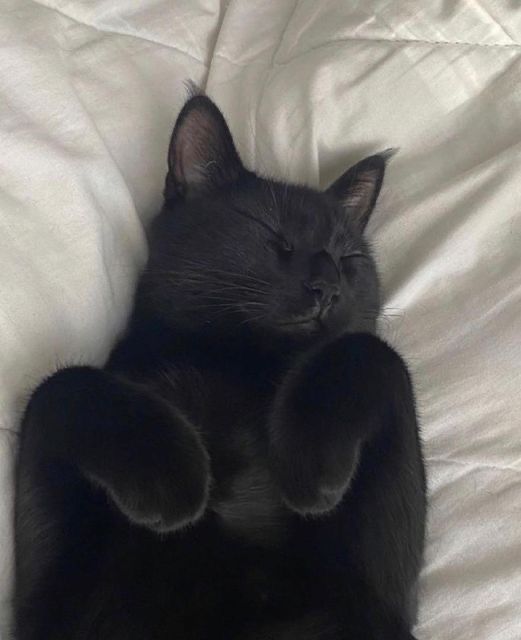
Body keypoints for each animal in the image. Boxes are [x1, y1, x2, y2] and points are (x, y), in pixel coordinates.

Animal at [14, 91, 424, 640]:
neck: (237, 363)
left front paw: (311, 466)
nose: (328, 285)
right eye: (273, 235)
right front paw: (170, 477)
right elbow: (59, 385)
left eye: (348, 258)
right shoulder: (53, 605)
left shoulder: (378, 596)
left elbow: (376, 353)